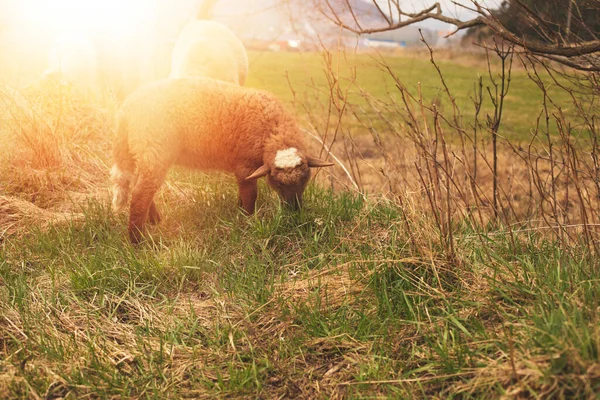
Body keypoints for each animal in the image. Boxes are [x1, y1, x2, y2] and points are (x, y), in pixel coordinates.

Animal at [111, 76, 332, 242]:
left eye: (305, 178)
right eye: (277, 182)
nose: (294, 211)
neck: (272, 130)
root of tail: (125, 110)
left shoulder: (245, 170)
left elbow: (243, 193)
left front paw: (240, 211)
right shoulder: (245, 165)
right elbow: (251, 195)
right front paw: (248, 221)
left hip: (143, 153)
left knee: (143, 188)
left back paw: (154, 221)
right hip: (154, 149)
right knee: (140, 195)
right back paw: (138, 242)